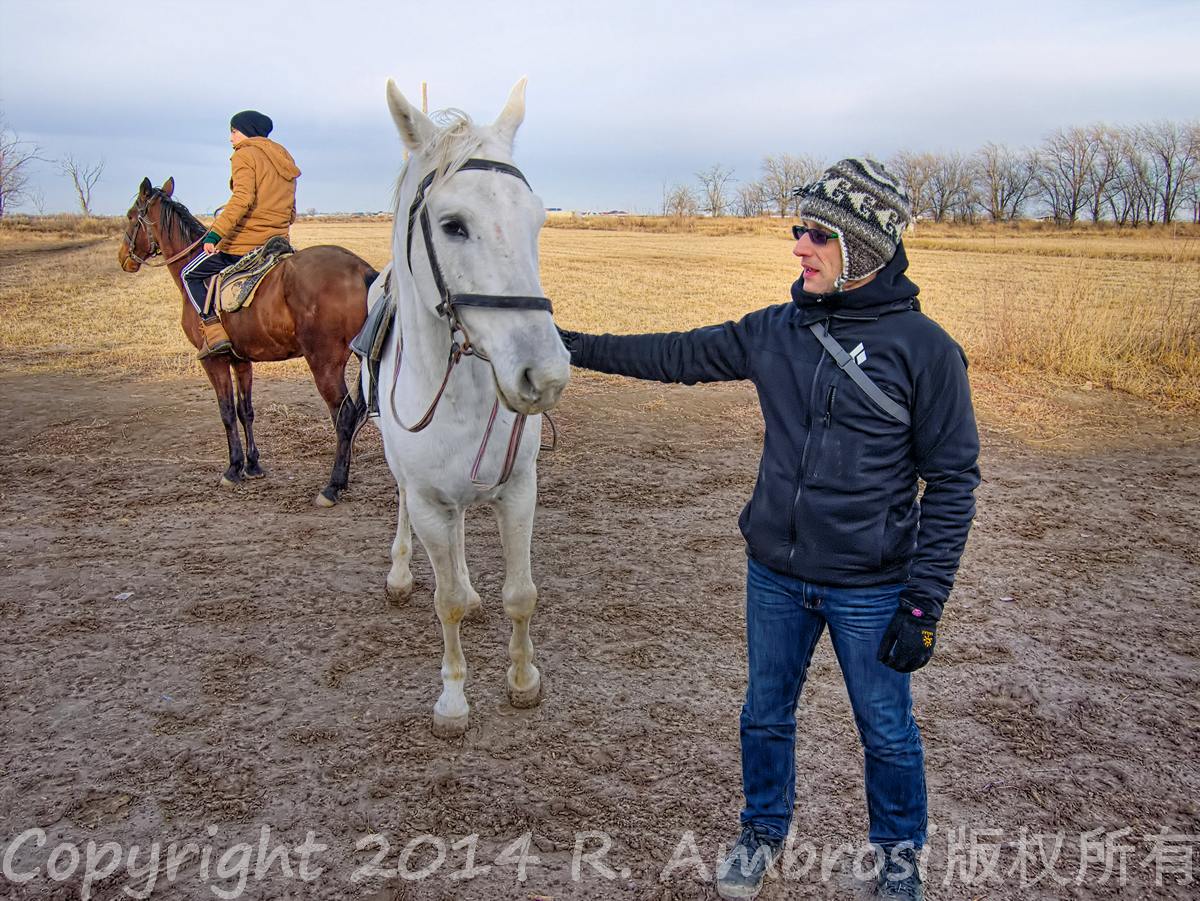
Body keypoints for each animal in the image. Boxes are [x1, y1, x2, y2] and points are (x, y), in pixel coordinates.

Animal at [118, 176, 374, 508]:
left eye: (130, 216)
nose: (123, 258)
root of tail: (360, 269)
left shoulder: (213, 360)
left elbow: (227, 412)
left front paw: (233, 468)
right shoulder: (241, 360)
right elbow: (245, 411)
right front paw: (252, 465)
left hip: (325, 363)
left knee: (344, 416)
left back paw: (333, 486)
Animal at [367, 77, 568, 739]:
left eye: (536, 221)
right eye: (453, 225)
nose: (544, 376)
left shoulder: (519, 489)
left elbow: (521, 594)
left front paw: (524, 681)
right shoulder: (429, 501)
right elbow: (446, 601)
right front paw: (453, 701)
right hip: (408, 483)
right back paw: (402, 573)